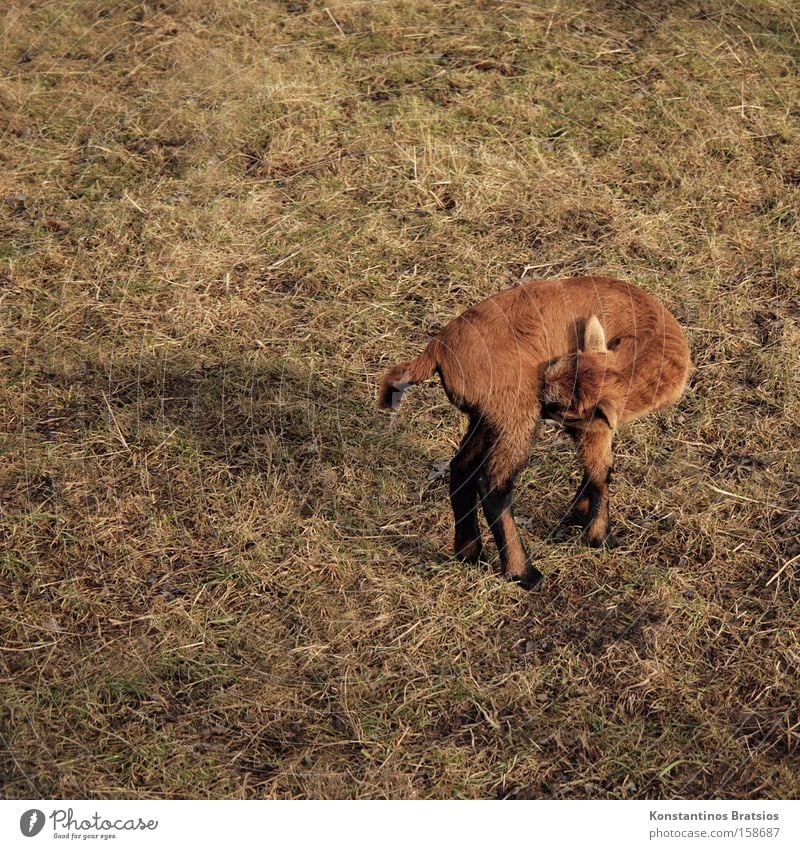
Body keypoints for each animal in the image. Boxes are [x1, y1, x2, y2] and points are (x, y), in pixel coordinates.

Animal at [378, 274, 692, 588]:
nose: (545, 407)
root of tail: (438, 348)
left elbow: (596, 468)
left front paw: (580, 513)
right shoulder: (592, 425)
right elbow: (601, 470)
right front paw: (599, 536)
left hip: (489, 416)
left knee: (461, 467)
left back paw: (469, 552)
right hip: (514, 412)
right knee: (493, 484)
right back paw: (524, 572)